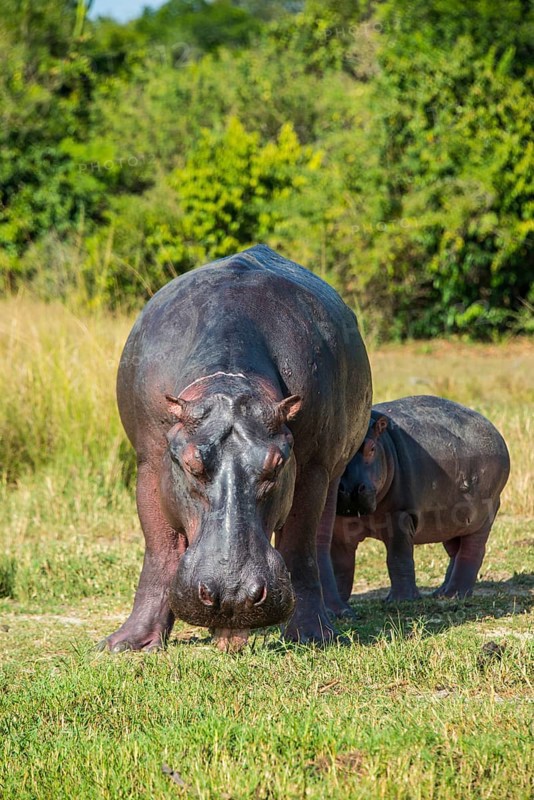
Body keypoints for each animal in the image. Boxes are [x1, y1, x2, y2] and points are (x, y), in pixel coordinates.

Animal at [100, 244, 371, 652]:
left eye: (276, 464)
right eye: (190, 464)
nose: (233, 595)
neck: (229, 380)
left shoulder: (311, 468)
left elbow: (300, 545)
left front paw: (312, 636)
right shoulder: (149, 463)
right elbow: (159, 548)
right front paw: (126, 644)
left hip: (333, 467)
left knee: (320, 536)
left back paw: (334, 613)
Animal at [331, 396, 510, 602]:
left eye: (372, 448)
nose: (351, 489)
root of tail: (495, 432)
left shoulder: (400, 515)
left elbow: (398, 557)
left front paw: (400, 600)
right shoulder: (340, 524)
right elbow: (341, 565)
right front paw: (336, 603)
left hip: (483, 516)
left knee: (472, 551)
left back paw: (456, 595)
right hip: (450, 519)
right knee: (455, 551)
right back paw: (441, 593)